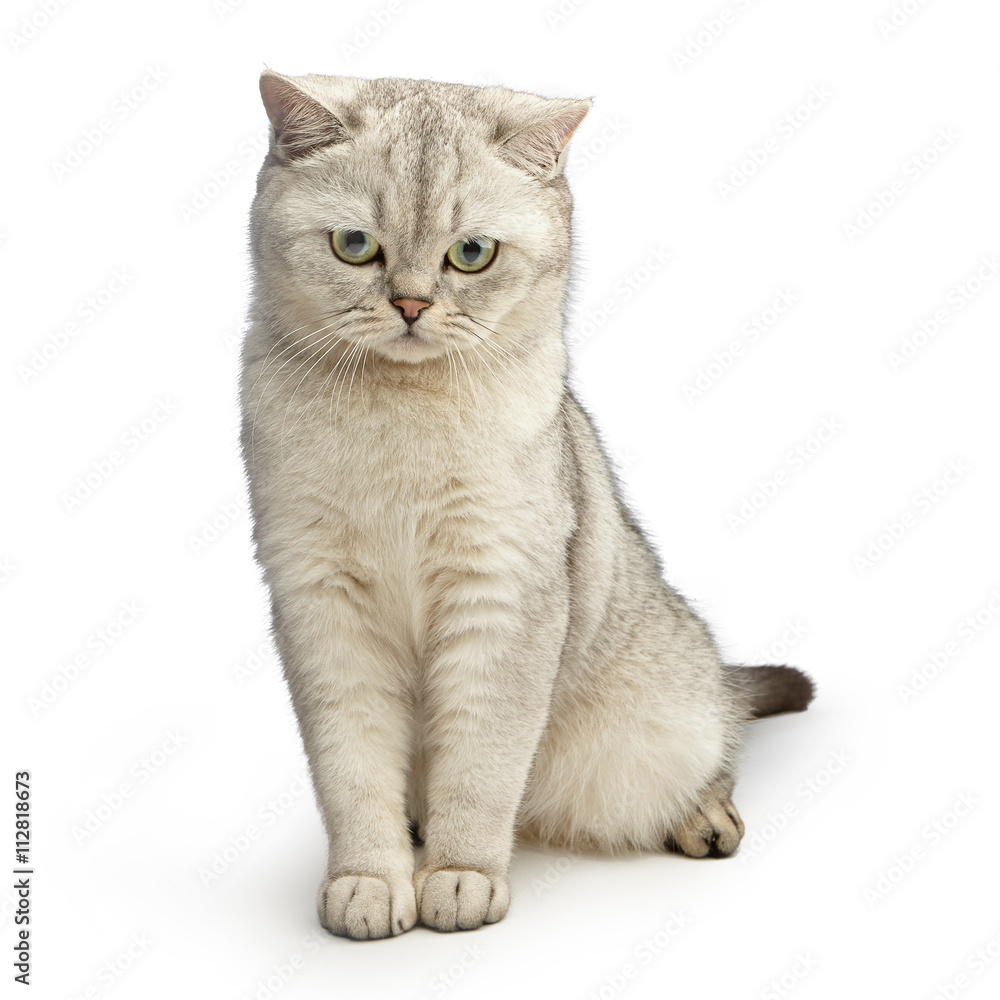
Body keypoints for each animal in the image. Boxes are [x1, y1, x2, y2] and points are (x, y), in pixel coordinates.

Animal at [240, 68, 812, 936]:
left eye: (470, 256)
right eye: (355, 246)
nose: (411, 306)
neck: (399, 416)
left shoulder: (501, 598)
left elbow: (479, 771)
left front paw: (458, 877)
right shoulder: (321, 605)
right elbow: (352, 777)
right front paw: (370, 882)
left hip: (661, 713)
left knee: (717, 741)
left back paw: (704, 816)